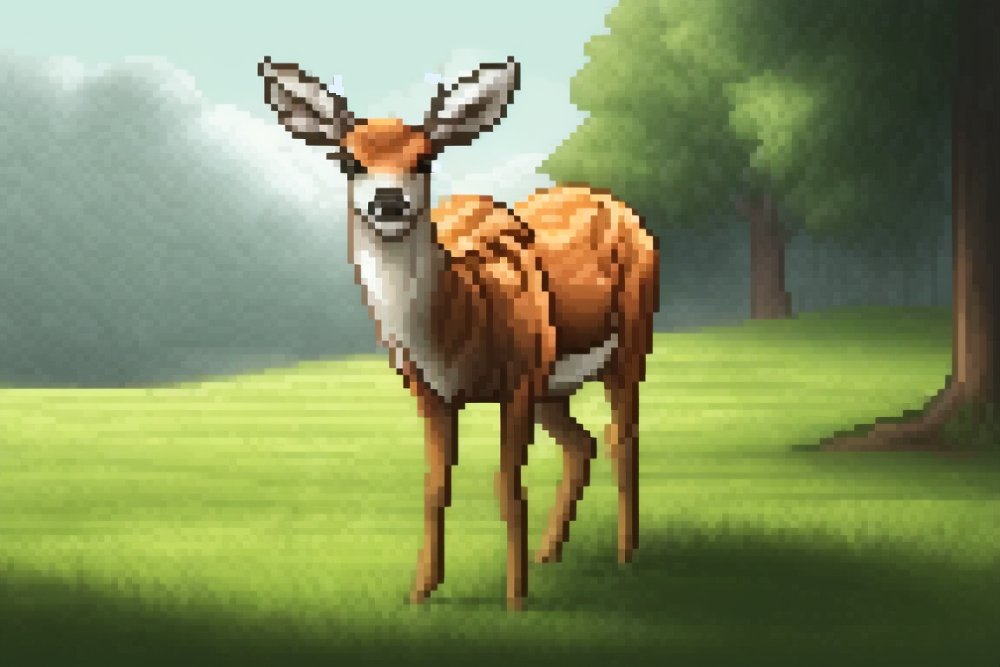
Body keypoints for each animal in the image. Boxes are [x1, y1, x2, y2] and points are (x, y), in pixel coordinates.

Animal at [258, 55, 659, 611]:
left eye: (425, 158)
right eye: (348, 160)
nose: (388, 202)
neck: (460, 326)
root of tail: (620, 207)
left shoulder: (518, 380)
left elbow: (508, 488)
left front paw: (515, 601)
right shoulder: (430, 390)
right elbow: (435, 487)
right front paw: (420, 592)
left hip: (631, 337)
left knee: (623, 436)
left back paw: (624, 554)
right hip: (554, 383)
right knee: (582, 445)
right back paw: (548, 556)